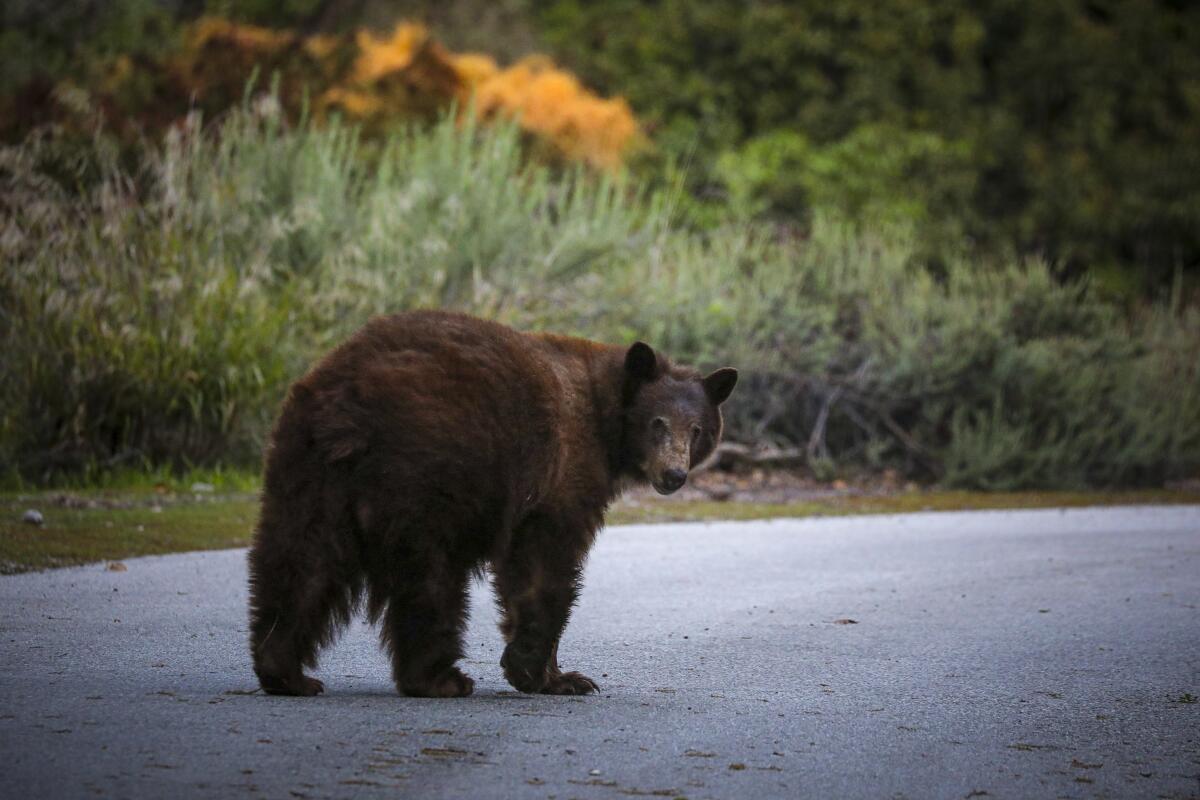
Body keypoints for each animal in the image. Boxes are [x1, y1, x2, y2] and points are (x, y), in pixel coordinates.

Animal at [248, 309, 734, 695]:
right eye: (658, 423)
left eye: (696, 429)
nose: (674, 475)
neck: (605, 419)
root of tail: (349, 406)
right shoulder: (562, 473)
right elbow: (546, 567)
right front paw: (545, 673)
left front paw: (556, 675)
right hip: (426, 470)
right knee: (430, 577)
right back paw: (439, 679)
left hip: (307, 468)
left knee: (301, 560)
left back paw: (284, 671)